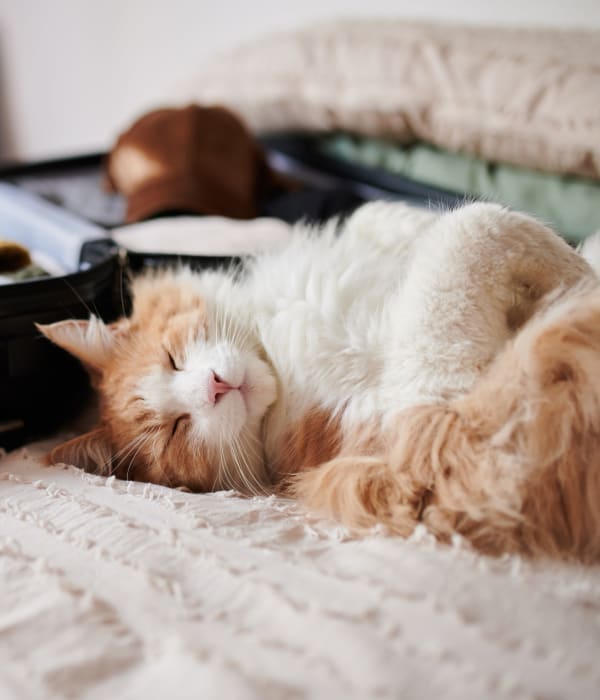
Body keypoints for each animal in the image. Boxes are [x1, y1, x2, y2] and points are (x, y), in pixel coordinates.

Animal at [37, 200, 600, 560]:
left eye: (172, 359)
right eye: (175, 430)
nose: (216, 386)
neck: (277, 357)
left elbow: (386, 215)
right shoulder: (441, 436)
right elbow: (471, 228)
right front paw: (583, 281)